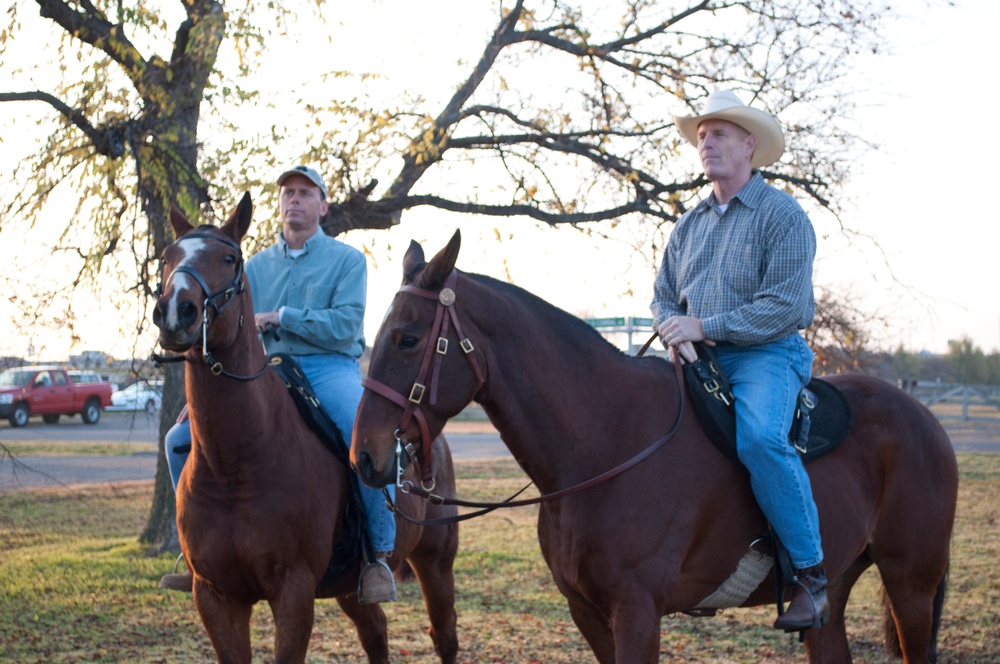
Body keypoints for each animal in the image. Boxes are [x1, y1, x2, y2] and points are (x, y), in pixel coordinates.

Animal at [151, 193, 460, 664]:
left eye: (229, 258)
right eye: (168, 257)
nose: (175, 312)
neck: (237, 463)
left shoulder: (293, 592)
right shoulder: (215, 596)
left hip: (435, 563)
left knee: (444, 635)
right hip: (351, 588)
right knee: (376, 631)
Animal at [352, 231, 960, 660]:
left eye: (408, 339)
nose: (365, 456)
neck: (604, 445)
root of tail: (924, 420)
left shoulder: (638, 612)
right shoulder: (588, 612)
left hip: (911, 586)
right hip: (836, 597)